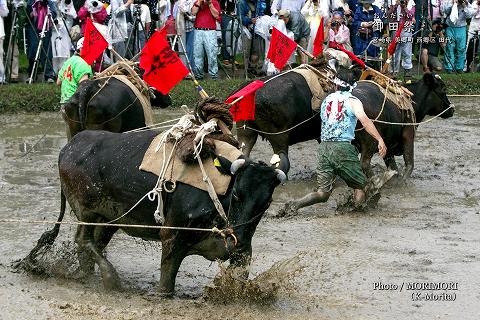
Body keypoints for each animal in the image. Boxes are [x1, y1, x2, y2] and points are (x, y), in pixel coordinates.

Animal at [53, 130, 284, 296]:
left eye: (266, 203)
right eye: (236, 194)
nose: (239, 240)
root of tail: (69, 147)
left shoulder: (244, 251)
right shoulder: (172, 235)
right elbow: (167, 278)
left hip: (109, 219)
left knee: (93, 244)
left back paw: (87, 275)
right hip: (87, 212)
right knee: (83, 239)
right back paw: (110, 278)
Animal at [234, 71, 452, 179]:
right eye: (442, 88)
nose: (451, 109)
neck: (407, 102)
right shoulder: (407, 136)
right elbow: (408, 165)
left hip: (246, 134)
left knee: (242, 155)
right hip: (280, 139)